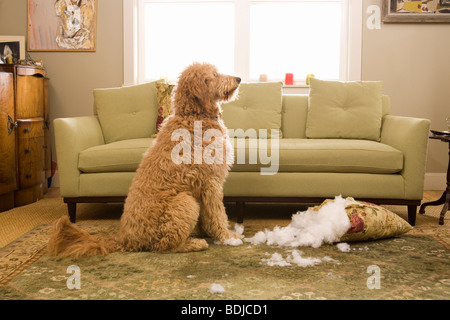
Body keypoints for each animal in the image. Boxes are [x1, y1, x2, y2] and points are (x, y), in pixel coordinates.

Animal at [47, 62, 243, 258]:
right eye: (215, 75)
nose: (239, 78)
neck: (194, 116)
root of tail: (125, 241)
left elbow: (208, 216)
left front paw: (209, 231)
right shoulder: (211, 183)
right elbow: (218, 214)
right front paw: (227, 236)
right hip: (185, 202)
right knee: (165, 246)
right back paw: (194, 243)